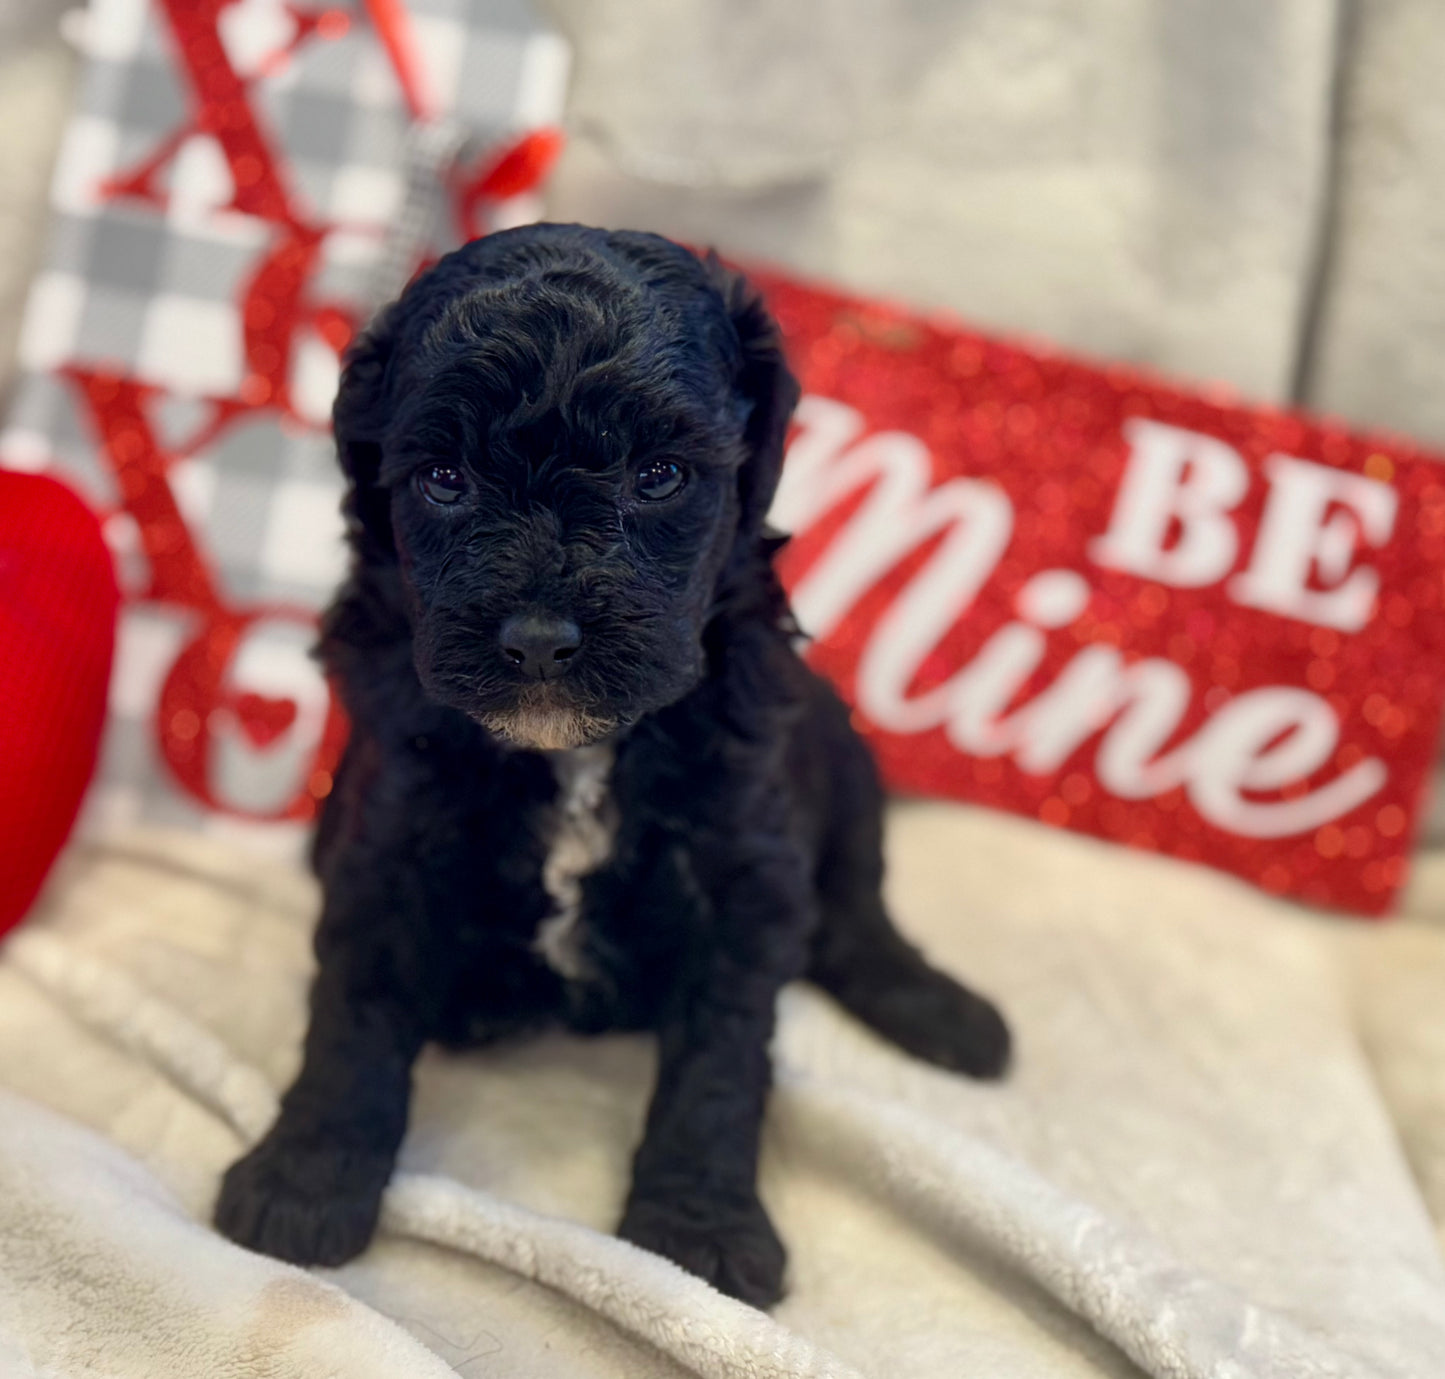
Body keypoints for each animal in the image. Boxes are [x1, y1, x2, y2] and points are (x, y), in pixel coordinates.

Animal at [216, 222, 1005, 1300]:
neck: (579, 749)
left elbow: (717, 1064)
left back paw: (946, 1015)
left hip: (840, 758)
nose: (541, 639)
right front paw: (303, 1180)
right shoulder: (388, 838)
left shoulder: (741, 863)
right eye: (444, 480)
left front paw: (698, 1236)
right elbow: (352, 1014)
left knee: (853, 913)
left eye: (659, 475)